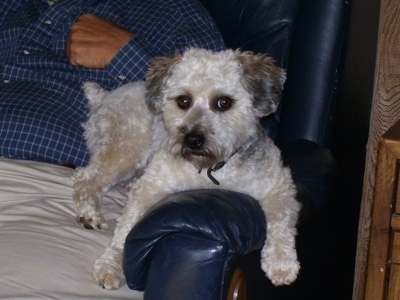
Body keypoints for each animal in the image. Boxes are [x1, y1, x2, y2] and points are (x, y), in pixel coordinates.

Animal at [73, 47, 302, 290]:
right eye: (183, 100)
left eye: (224, 102)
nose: (192, 139)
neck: (212, 168)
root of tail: (105, 96)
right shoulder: (151, 186)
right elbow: (126, 229)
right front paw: (111, 264)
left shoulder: (279, 184)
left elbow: (281, 220)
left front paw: (281, 263)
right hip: (128, 147)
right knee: (85, 177)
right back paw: (89, 213)